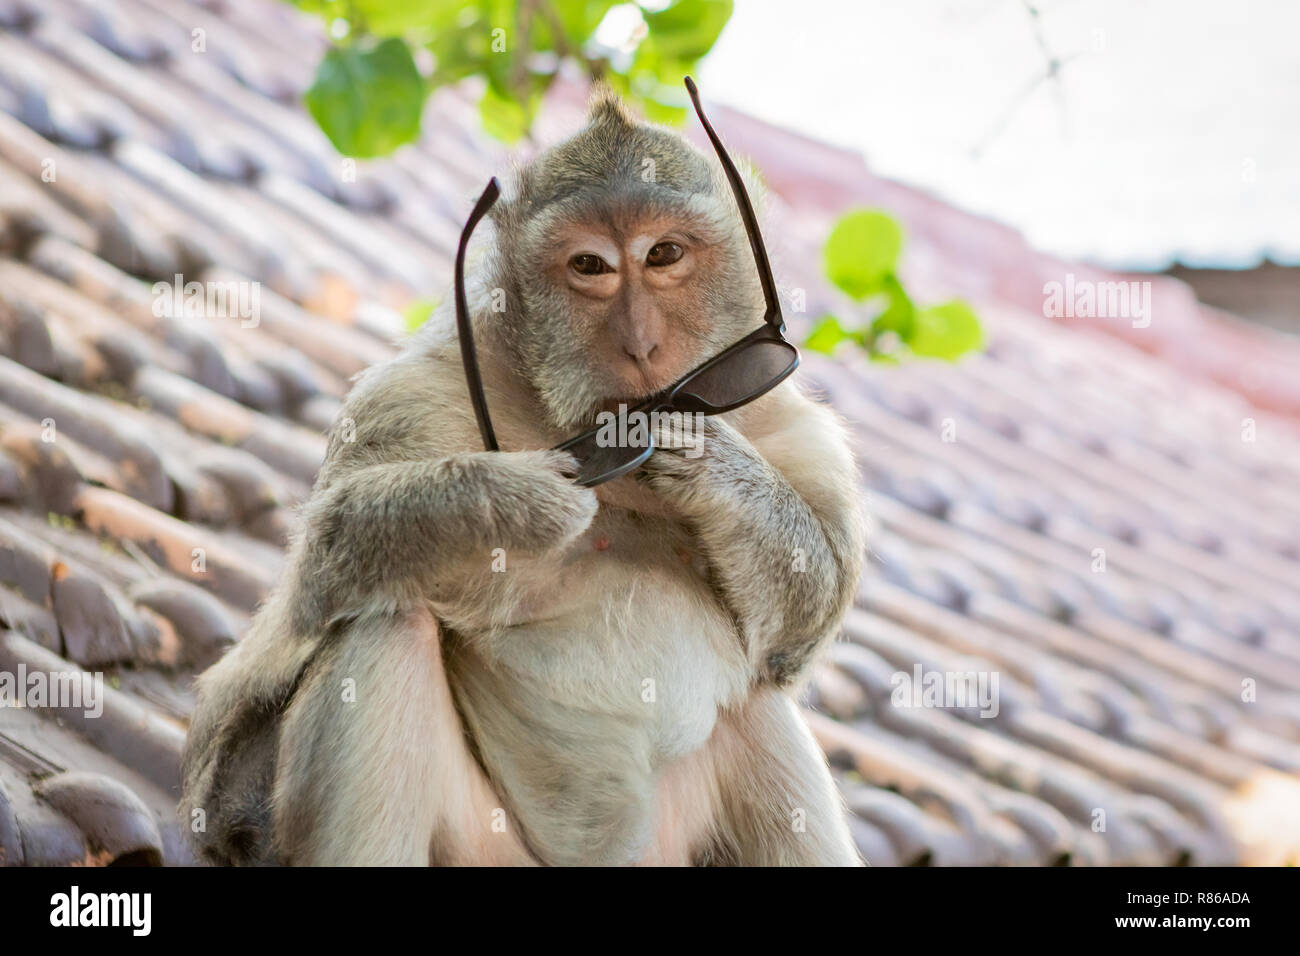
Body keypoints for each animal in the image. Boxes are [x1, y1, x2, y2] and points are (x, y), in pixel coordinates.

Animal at [180, 87, 866, 867]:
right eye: (590, 266)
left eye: (664, 253)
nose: (641, 343)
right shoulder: (416, 391)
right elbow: (324, 558)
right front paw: (510, 500)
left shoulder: (801, 434)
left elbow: (798, 635)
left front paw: (704, 458)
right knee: (385, 628)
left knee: (759, 709)